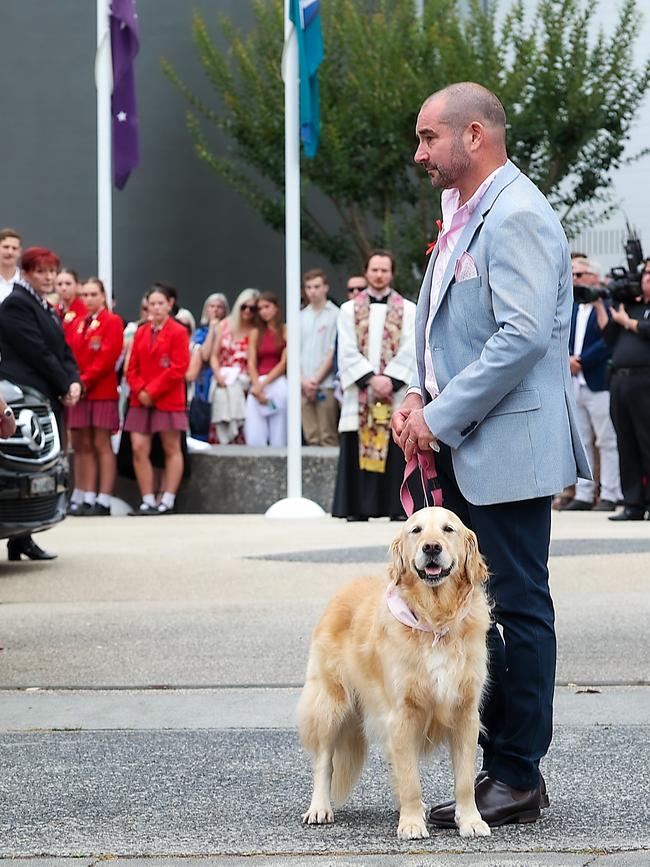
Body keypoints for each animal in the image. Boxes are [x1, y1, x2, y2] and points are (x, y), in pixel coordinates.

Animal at [296, 508, 488, 840]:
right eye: (416, 530)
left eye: (448, 529)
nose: (431, 548)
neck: (434, 620)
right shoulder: (401, 714)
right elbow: (410, 779)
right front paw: (411, 824)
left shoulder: (465, 712)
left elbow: (464, 780)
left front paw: (470, 820)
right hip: (331, 704)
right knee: (324, 761)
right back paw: (320, 807)